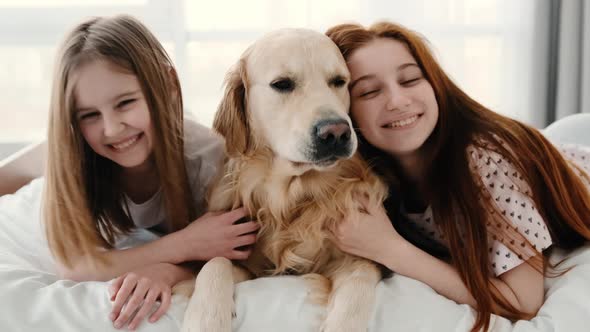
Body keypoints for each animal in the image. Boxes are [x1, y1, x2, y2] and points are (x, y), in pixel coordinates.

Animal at [180, 28, 394, 332]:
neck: (289, 199)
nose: (336, 133)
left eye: (339, 81)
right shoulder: (249, 263)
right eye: (282, 84)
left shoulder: (357, 255)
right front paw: (206, 318)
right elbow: (215, 263)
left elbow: (359, 280)